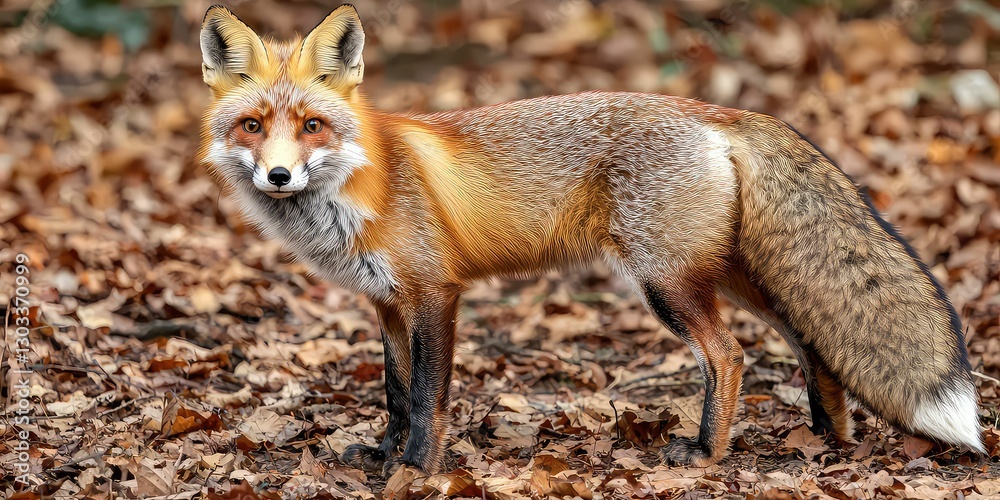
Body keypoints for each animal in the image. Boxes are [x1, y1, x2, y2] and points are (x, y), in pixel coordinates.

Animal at [197, 4, 985, 475]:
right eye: (251, 126)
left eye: (312, 126)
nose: (276, 175)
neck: (362, 180)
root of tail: (710, 108)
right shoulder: (387, 304)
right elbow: (393, 392)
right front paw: (385, 457)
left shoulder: (435, 295)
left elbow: (426, 396)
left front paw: (417, 469)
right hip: (726, 273)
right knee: (809, 337)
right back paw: (828, 436)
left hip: (668, 283)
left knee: (729, 357)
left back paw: (707, 452)